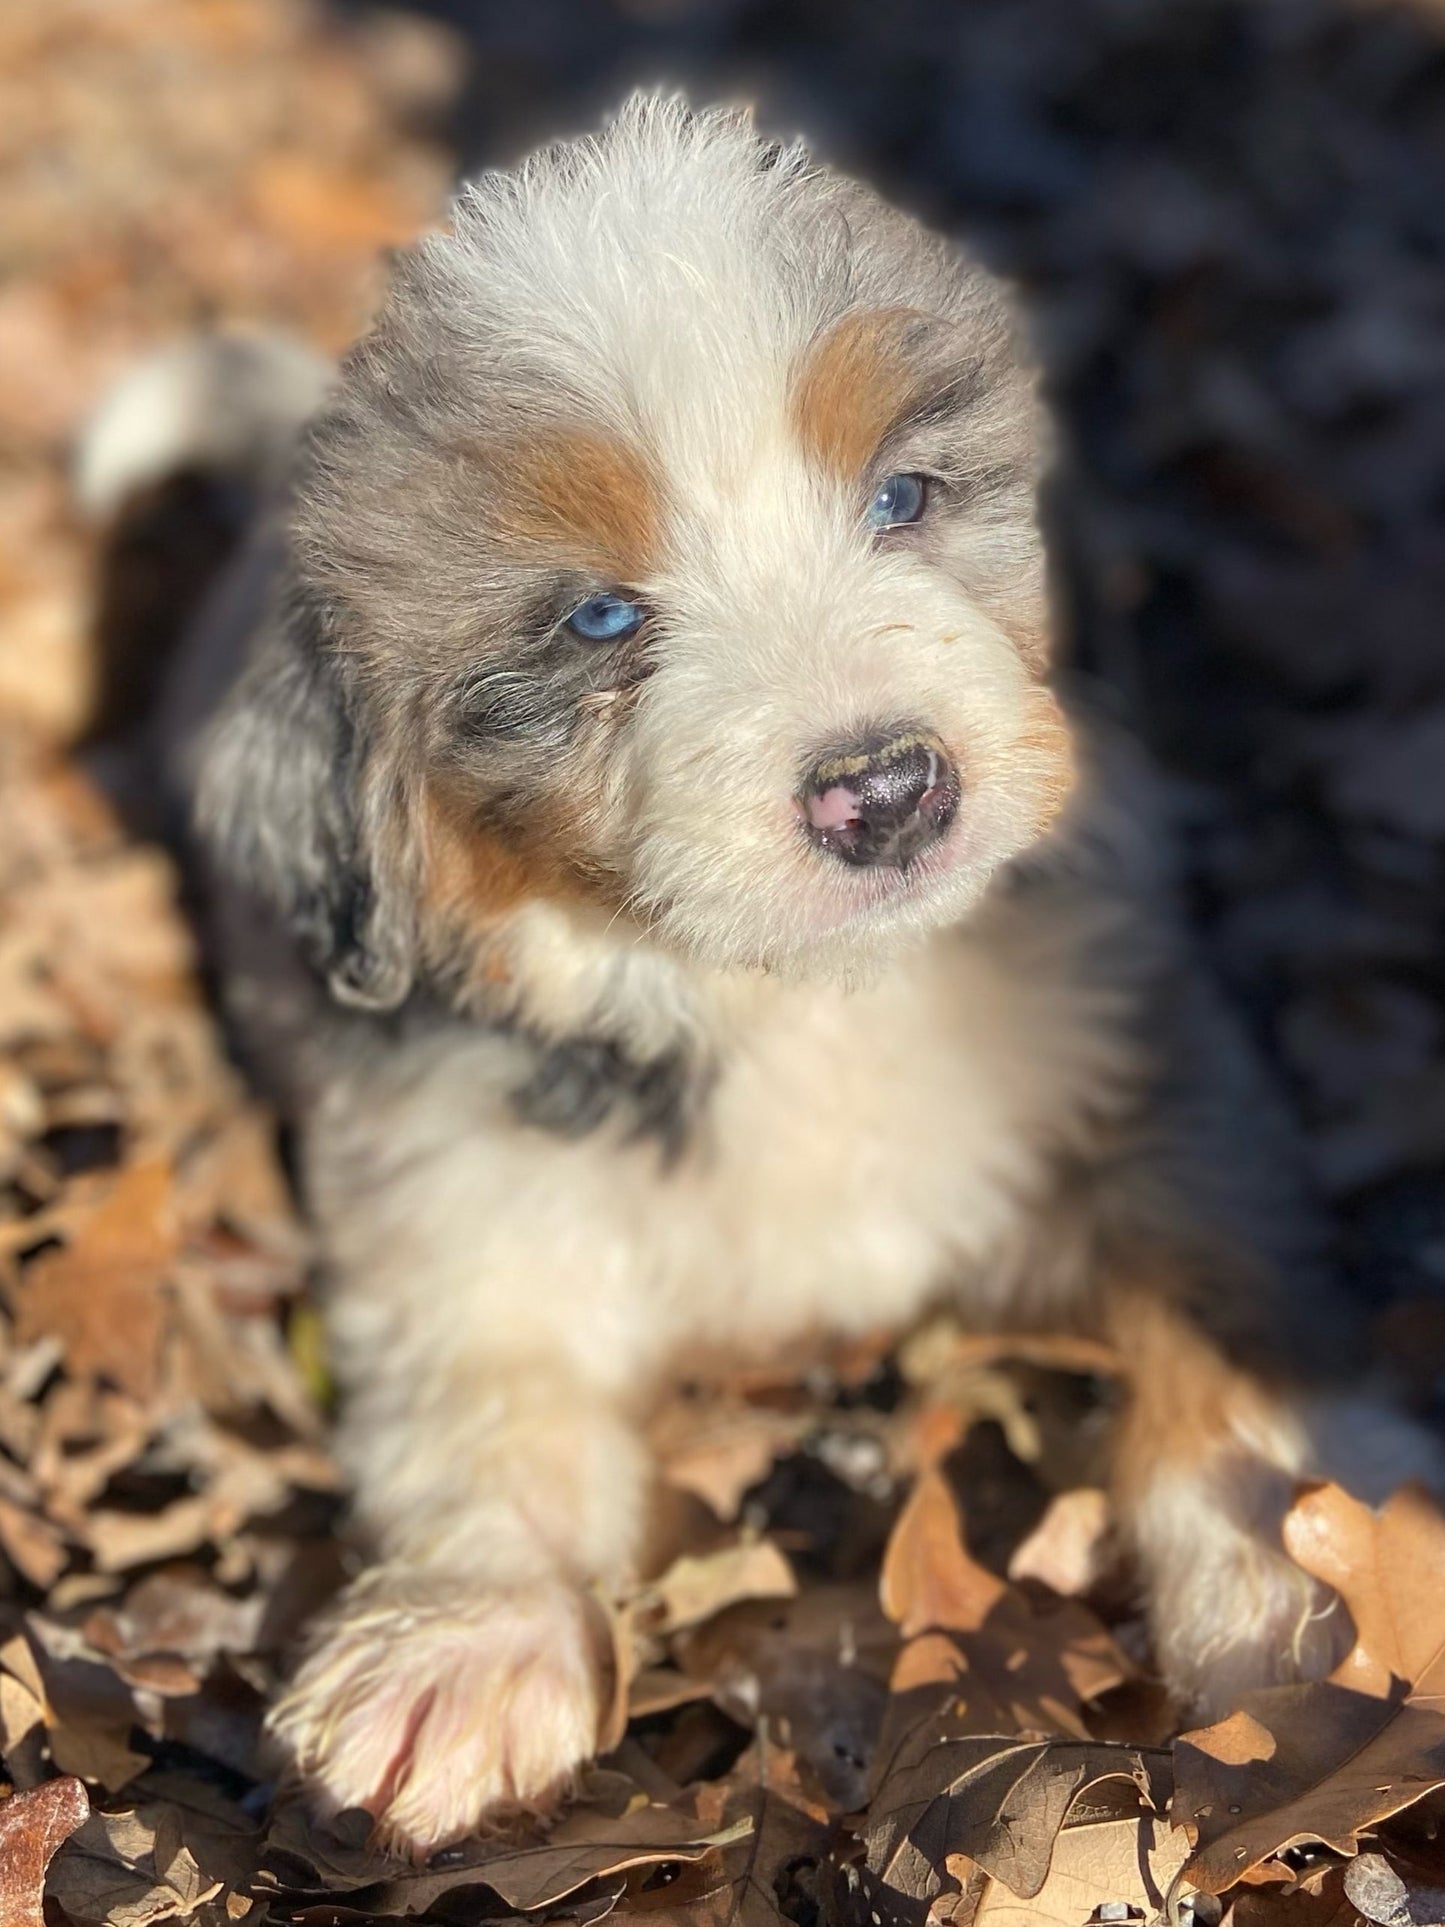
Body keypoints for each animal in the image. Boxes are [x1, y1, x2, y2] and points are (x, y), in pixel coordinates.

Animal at [90, 97, 1441, 1857]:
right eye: (600, 618)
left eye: (903, 496)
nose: (887, 790)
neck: (795, 995)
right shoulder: (455, 1193)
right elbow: (479, 1401)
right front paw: (464, 1637)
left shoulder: (1146, 1053)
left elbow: (1219, 1294)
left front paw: (1298, 1554)